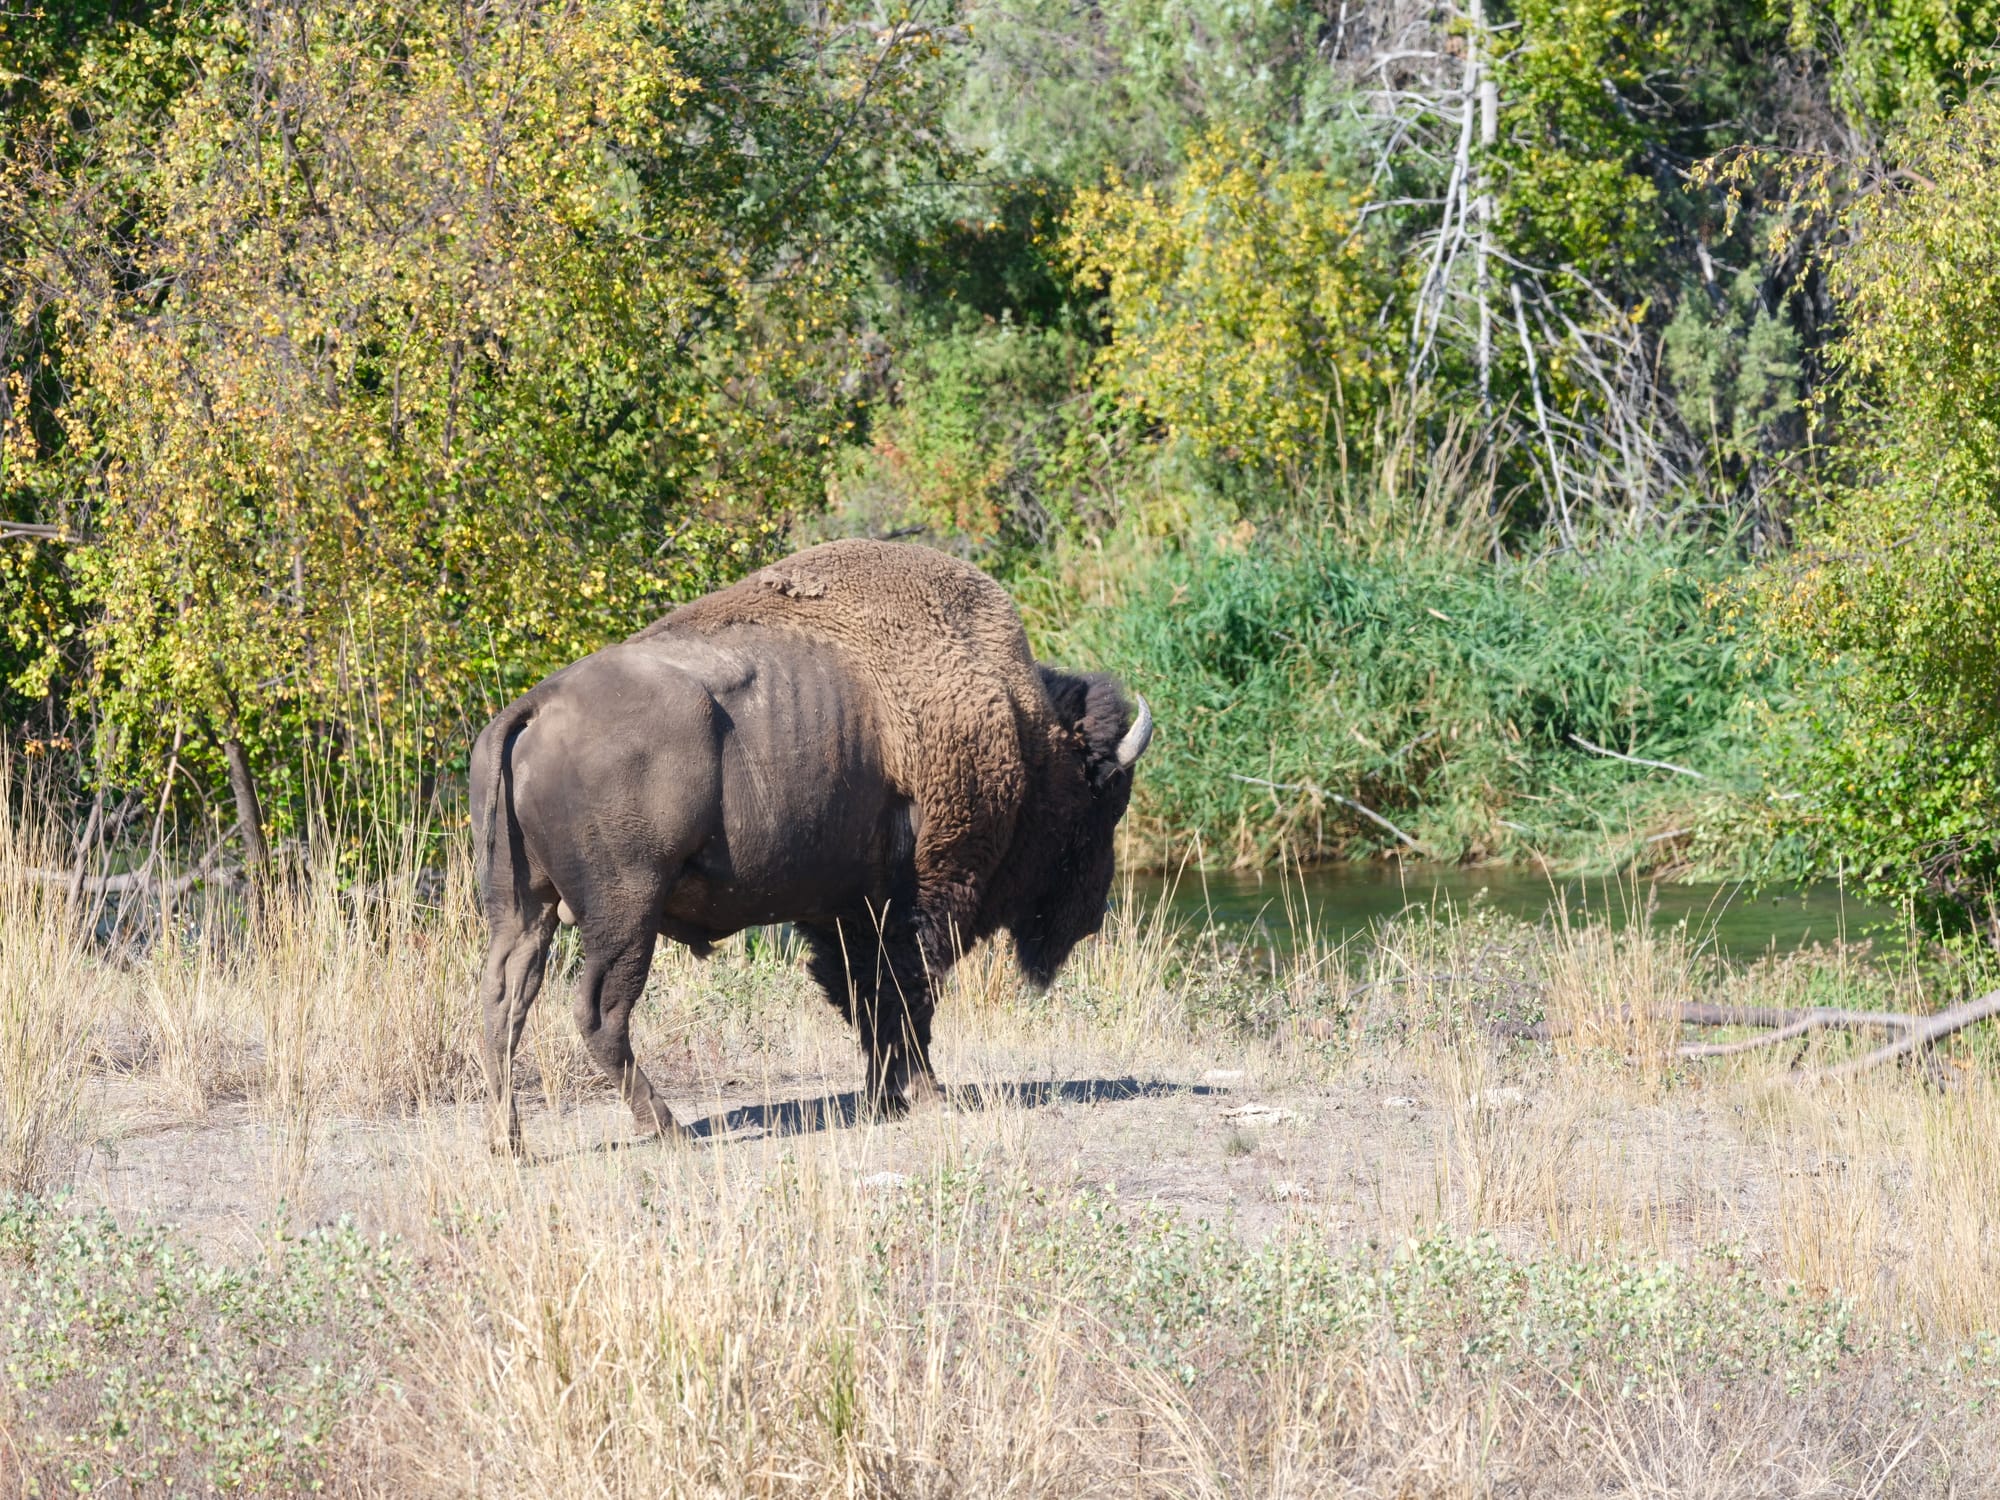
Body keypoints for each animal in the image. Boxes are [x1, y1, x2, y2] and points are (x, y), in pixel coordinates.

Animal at [469, 540, 1152, 1152]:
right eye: (1104, 800)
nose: (1093, 914)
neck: (1022, 729)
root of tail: (535, 706)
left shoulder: (846, 912)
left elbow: (867, 999)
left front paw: (886, 1097)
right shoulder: (919, 902)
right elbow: (906, 998)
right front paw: (926, 1095)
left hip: (523, 908)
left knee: (504, 1000)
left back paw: (511, 1143)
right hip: (624, 912)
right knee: (599, 1012)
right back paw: (670, 1130)